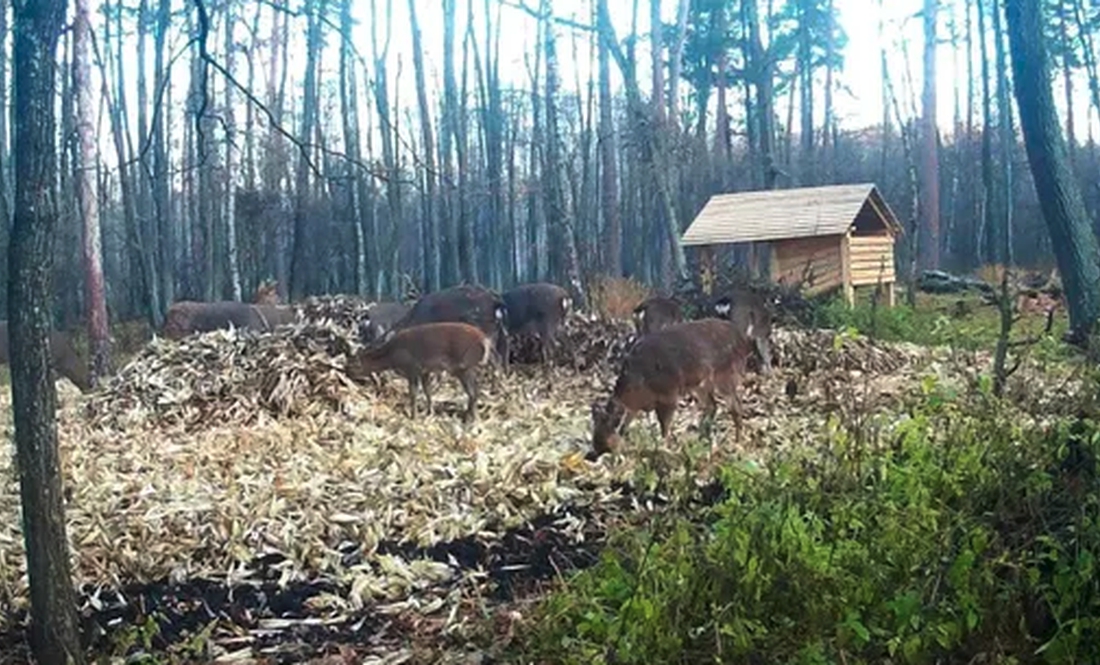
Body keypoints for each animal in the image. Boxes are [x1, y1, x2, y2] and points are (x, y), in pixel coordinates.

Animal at [343, 320, 495, 419]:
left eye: (352, 366)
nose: (345, 373)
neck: (392, 355)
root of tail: (485, 340)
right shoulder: (424, 371)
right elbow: (427, 391)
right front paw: (429, 412)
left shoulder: (412, 367)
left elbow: (413, 393)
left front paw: (413, 416)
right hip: (469, 367)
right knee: (476, 390)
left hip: (463, 365)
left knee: (472, 392)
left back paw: (471, 418)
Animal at [589, 318, 752, 459]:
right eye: (594, 433)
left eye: (605, 440)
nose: (595, 453)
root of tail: (743, 340)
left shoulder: (668, 394)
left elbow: (664, 427)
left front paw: (665, 449)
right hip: (700, 384)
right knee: (712, 405)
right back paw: (701, 440)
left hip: (726, 374)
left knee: (735, 406)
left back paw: (738, 443)